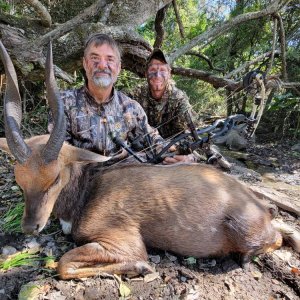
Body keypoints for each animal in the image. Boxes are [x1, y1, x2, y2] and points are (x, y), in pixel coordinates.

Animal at [0, 40, 300, 278]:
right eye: (20, 181)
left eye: (55, 177)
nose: (30, 227)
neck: (87, 189)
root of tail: (259, 207)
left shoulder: (121, 240)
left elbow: (64, 264)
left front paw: (141, 267)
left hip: (246, 232)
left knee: (274, 238)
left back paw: (246, 257)